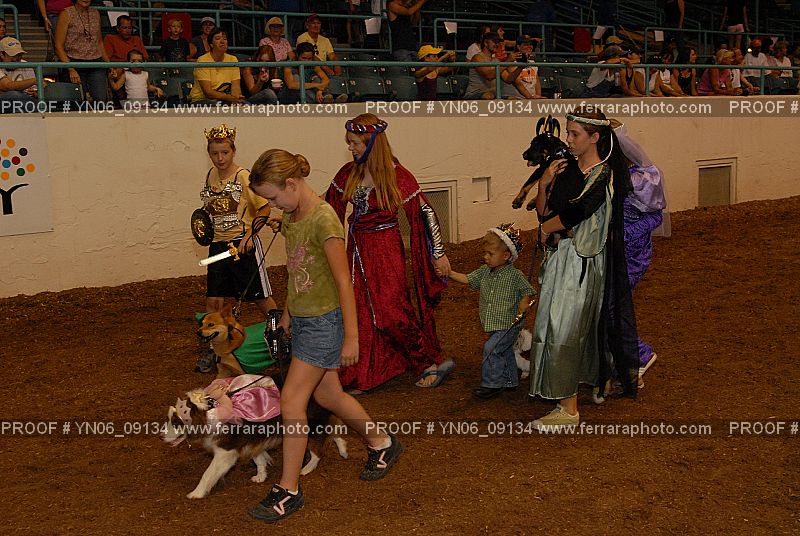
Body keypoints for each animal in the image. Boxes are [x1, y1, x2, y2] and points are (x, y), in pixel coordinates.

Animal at [162, 377, 349, 499]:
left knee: (318, 451)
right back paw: (343, 451)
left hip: (309, 428)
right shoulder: (253, 439)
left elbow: (208, 474)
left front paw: (196, 493)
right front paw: (261, 476)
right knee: (333, 432)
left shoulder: (225, 452)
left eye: (176, 422)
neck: (211, 411)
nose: (161, 435)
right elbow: (258, 459)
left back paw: (305, 469)